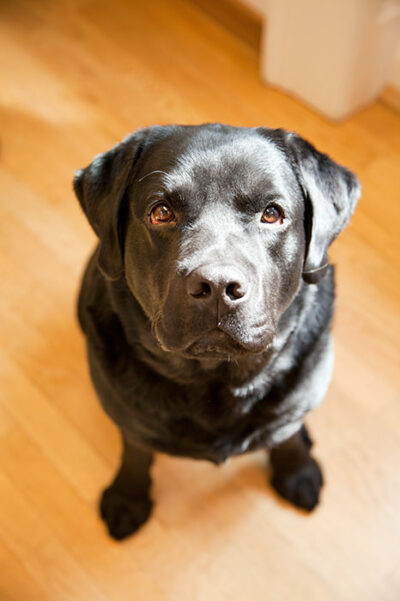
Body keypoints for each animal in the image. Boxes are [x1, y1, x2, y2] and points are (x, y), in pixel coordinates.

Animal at [74, 123, 360, 540]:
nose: (218, 285)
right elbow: (136, 449)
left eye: (272, 214)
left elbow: (288, 433)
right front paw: (128, 495)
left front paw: (297, 469)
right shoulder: (127, 413)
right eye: (161, 212)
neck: (214, 380)